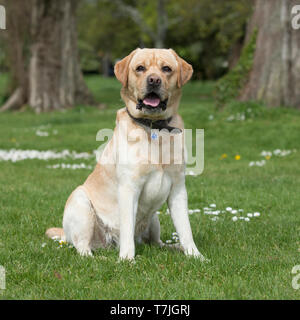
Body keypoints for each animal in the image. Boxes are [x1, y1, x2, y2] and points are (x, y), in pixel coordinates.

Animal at [46, 48, 206, 262]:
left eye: (166, 69)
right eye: (140, 68)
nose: (154, 80)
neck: (154, 127)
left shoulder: (178, 188)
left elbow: (185, 229)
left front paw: (195, 255)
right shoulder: (129, 188)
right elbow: (127, 230)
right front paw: (127, 260)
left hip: (154, 220)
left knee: (157, 243)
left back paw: (175, 247)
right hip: (81, 203)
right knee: (83, 248)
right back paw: (103, 258)